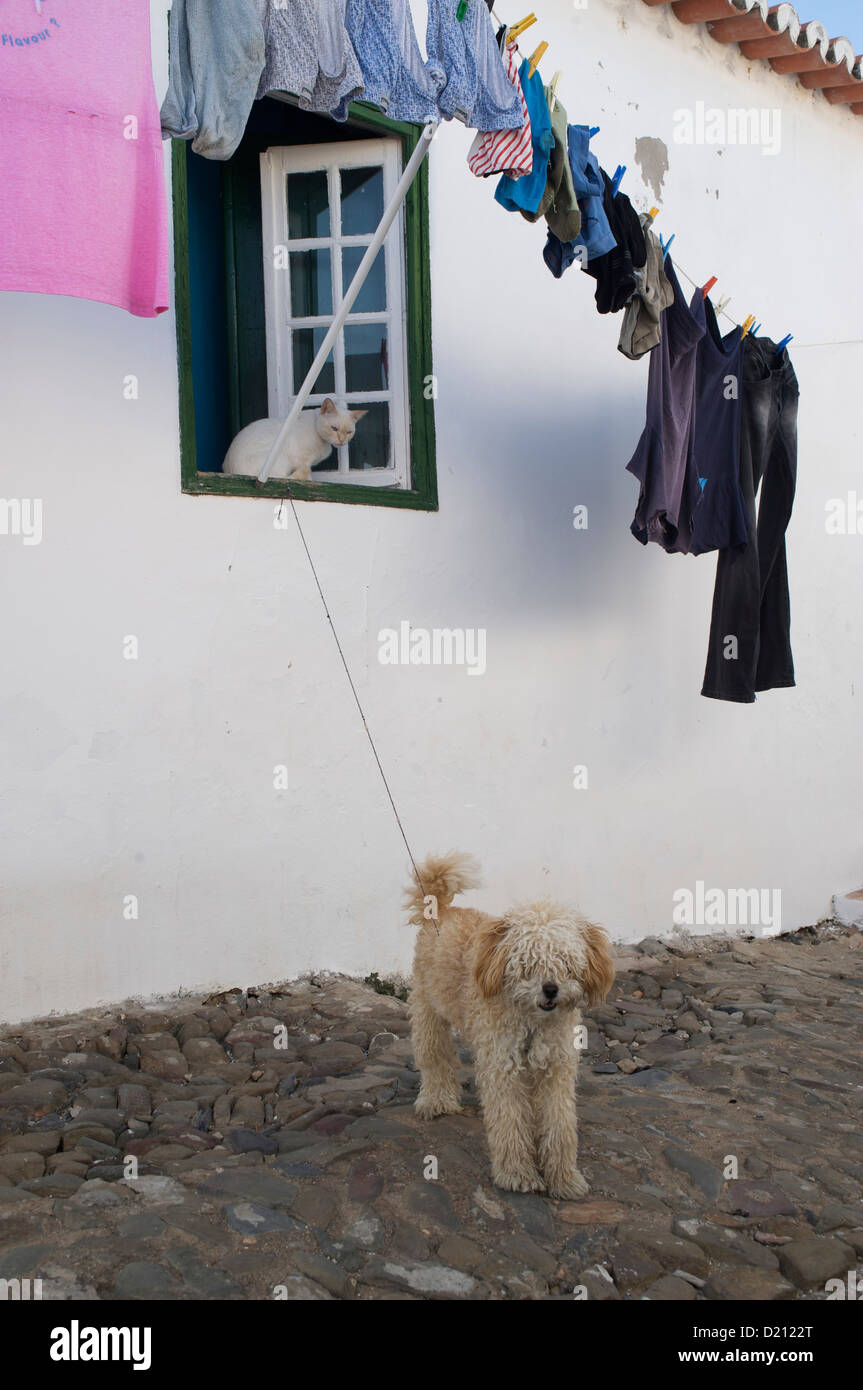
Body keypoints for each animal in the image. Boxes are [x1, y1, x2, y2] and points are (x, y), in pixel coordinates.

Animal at [403, 850, 611, 1200]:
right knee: (435, 1058)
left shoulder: (556, 1070)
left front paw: (564, 1178)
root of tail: (442, 910)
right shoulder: (503, 1069)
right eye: (529, 962)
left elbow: (560, 1126)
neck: (532, 1024)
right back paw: (437, 1100)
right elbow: (510, 1122)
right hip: (428, 1010)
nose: (550, 989)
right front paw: (517, 1174)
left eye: (566, 962)